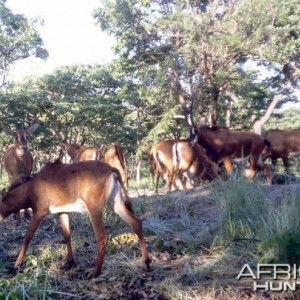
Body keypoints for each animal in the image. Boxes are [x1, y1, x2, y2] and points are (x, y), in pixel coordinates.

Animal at [0, 161, 151, 278]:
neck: (30, 188)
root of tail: (111, 169)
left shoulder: (38, 213)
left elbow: (27, 238)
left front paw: (15, 267)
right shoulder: (62, 212)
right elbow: (67, 235)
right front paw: (69, 263)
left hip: (94, 209)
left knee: (102, 236)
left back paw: (95, 272)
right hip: (115, 203)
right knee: (136, 222)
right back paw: (147, 262)